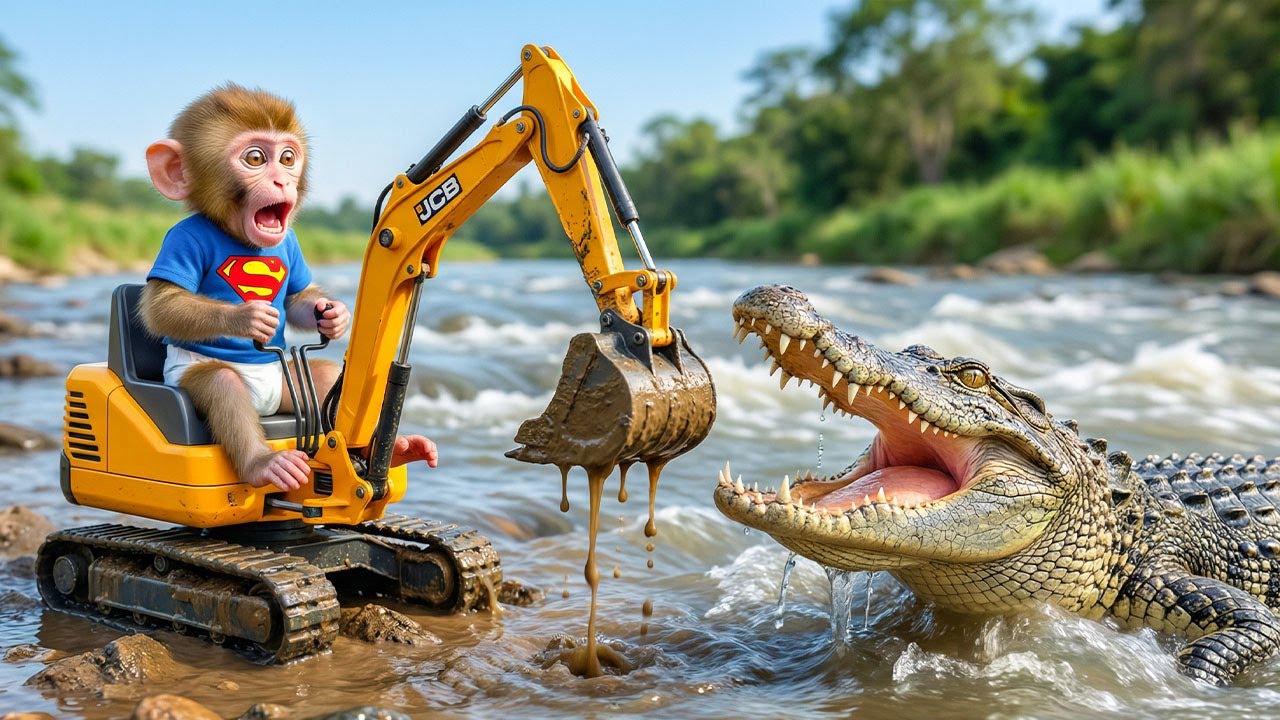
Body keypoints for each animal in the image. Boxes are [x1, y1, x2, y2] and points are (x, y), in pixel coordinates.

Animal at [140, 84, 438, 491]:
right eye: (254, 158)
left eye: (287, 158)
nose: (282, 181)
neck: (240, 239)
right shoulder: (181, 242)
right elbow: (163, 305)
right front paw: (250, 316)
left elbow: (299, 296)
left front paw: (334, 316)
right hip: (195, 377)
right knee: (223, 387)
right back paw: (266, 464)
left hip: (288, 387)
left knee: (325, 378)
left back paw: (402, 447)